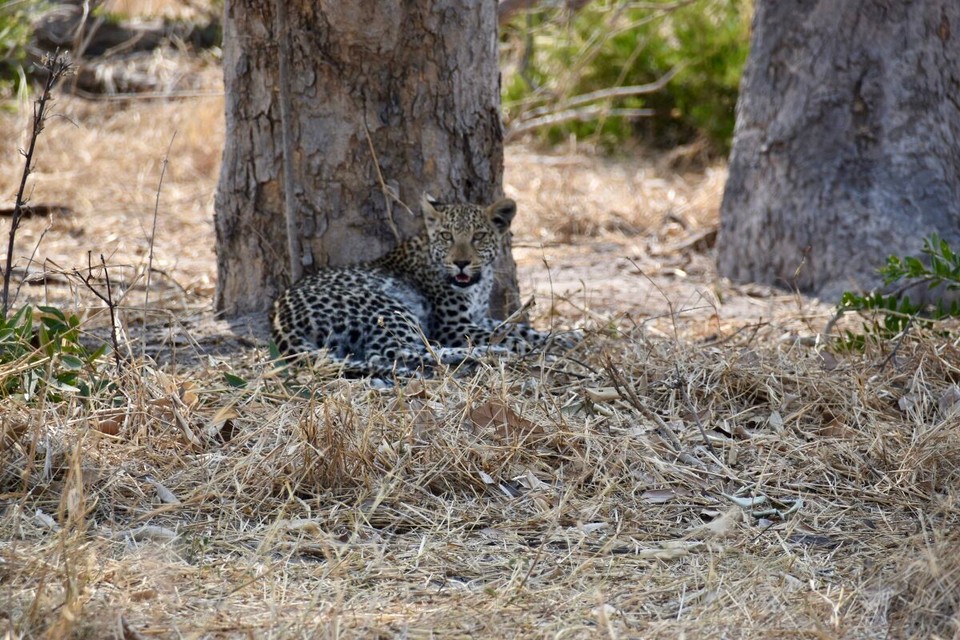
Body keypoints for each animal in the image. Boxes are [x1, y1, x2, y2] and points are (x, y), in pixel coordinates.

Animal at [270, 193, 570, 376]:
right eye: (447, 236)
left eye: (478, 236)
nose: (461, 263)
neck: (478, 283)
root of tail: (280, 322)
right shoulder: (452, 325)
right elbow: (508, 334)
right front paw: (534, 347)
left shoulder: (479, 317)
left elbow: (515, 327)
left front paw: (564, 338)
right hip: (385, 306)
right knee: (396, 352)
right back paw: (490, 353)